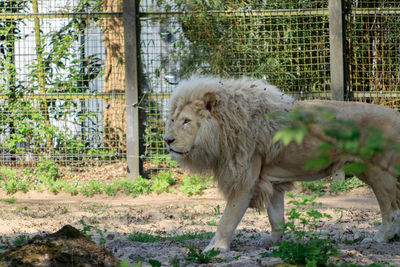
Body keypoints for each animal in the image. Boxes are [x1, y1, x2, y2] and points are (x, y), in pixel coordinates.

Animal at [163, 76, 400, 253]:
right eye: (173, 120)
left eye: (186, 121)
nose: (167, 140)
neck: (224, 128)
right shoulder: (270, 181)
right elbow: (276, 217)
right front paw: (275, 241)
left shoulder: (245, 179)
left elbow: (228, 218)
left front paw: (216, 248)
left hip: (378, 172)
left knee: (391, 212)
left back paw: (379, 239)